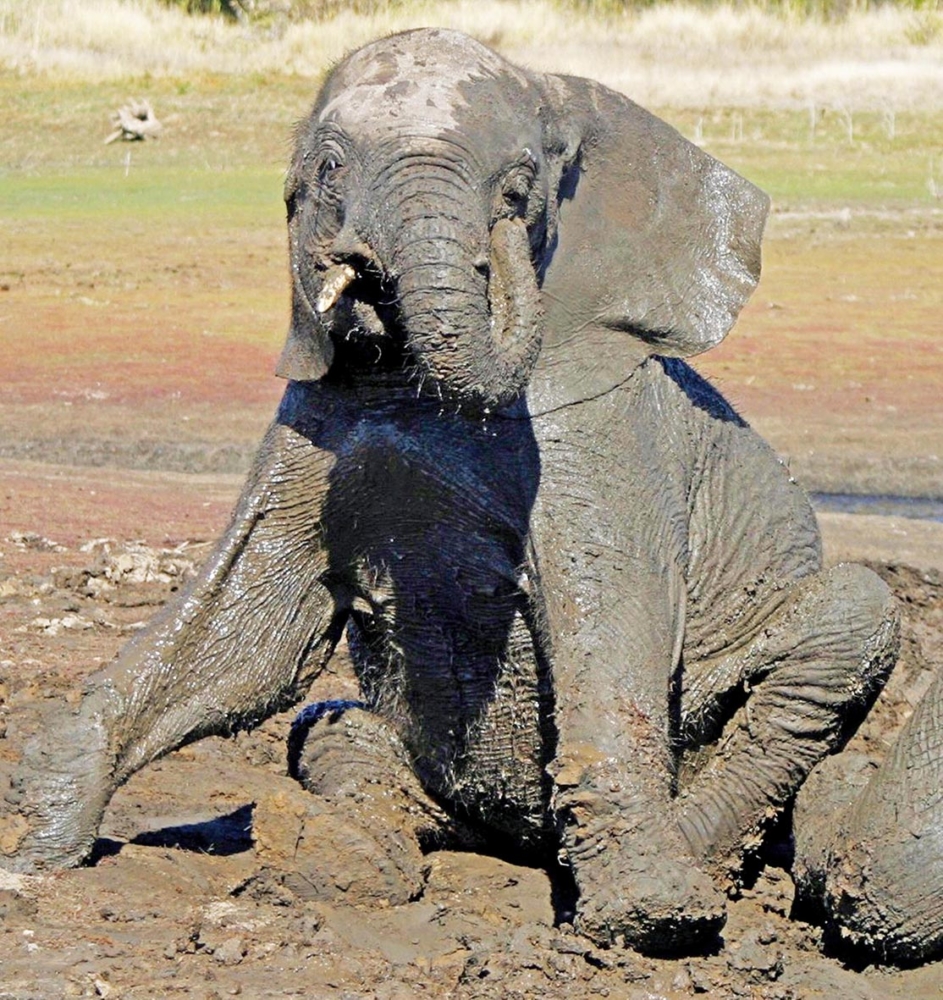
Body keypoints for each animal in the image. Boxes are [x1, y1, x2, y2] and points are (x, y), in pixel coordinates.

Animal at [0, 28, 911, 958]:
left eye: (520, 186)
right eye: (329, 166)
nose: (495, 244)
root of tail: (517, 845)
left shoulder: (598, 421)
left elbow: (606, 624)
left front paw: (647, 915)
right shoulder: (311, 419)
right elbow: (254, 629)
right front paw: (42, 834)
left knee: (850, 620)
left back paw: (687, 866)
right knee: (329, 731)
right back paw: (342, 854)